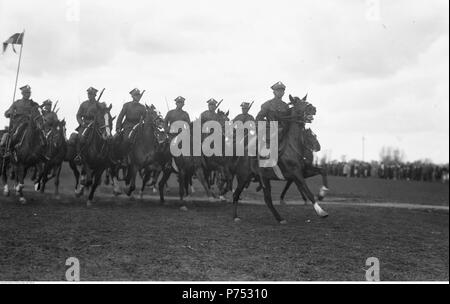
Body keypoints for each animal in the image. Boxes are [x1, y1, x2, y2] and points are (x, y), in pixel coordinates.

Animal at [232, 94, 326, 223]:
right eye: (298, 103)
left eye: (305, 101)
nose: (313, 109)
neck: (293, 146)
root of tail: (241, 155)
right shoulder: (296, 174)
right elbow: (308, 191)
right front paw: (321, 211)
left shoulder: (303, 171)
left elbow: (322, 171)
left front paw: (322, 193)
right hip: (243, 177)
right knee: (236, 194)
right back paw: (235, 216)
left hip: (264, 179)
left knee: (267, 200)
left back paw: (280, 218)